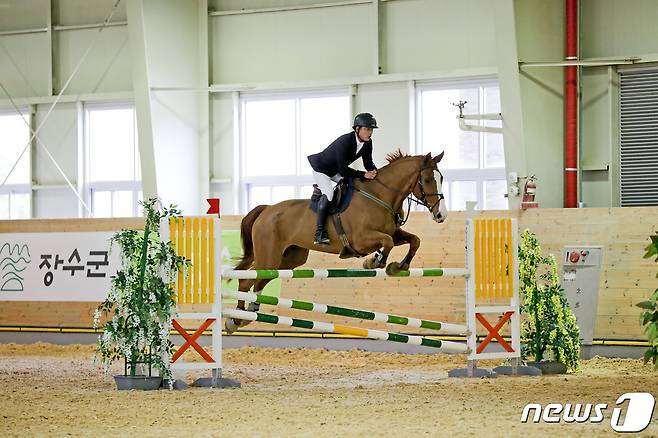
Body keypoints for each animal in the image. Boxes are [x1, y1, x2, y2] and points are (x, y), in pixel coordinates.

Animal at [226, 151, 446, 332]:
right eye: (427, 179)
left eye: (441, 178)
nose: (440, 215)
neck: (380, 196)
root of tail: (267, 210)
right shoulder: (361, 239)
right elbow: (387, 242)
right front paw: (374, 261)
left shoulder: (395, 232)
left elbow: (414, 240)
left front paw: (399, 266)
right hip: (269, 256)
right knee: (246, 280)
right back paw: (234, 320)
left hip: (290, 259)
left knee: (260, 280)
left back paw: (249, 312)